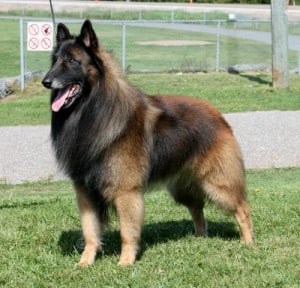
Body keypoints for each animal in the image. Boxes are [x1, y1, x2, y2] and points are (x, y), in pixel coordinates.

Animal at [42, 20, 253, 266]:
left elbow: (127, 231)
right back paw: (200, 238)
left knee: (242, 208)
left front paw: (125, 262)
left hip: (217, 183)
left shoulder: (126, 192)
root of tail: (217, 115)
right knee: (197, 209)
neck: (92, 111)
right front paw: (85, 262)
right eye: (55, 60)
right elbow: (90, 232)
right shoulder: (85, 192)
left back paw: (248, 242)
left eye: (72, 61)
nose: (46, 81)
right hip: (182, 188)